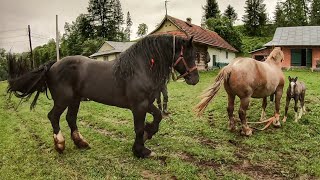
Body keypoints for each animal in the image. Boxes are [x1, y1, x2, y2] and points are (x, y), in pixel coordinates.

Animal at [7, 34, 199, 158]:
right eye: (188, 55)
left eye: (196, 55)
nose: (195, 79)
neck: (140, 68)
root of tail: (53, 65)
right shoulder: (138, 106)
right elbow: (138, 128)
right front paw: (140, 150)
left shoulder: (147, 103)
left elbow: (158, 117)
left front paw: (148, 133)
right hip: (63, 100)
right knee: (53, 116)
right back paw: (60, 143)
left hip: (75, 100)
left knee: (70, 118)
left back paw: (80, 142)